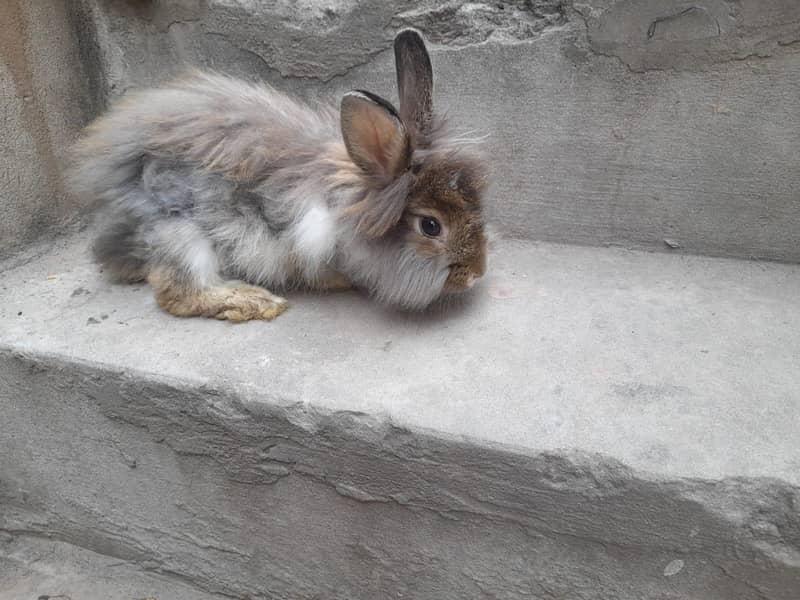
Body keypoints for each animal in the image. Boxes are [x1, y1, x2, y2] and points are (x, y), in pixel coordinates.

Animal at [68, 29, 489, 322]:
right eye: (431, 226)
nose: (476, 273)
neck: (346, 204)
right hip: (178, 233)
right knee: (178, 293)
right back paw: (254, 301)